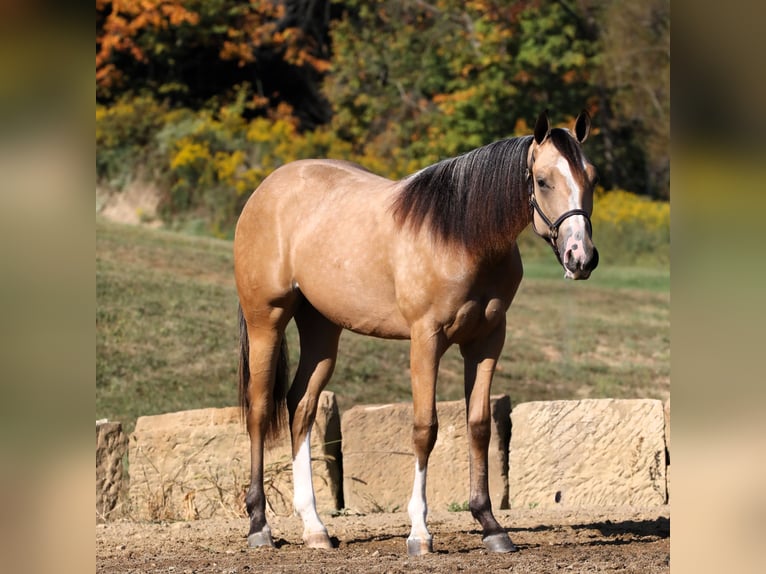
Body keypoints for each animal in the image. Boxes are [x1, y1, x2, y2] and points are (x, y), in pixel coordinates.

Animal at [234, 110, 600, 556]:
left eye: (592, 177)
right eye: (543, 180)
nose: (581, 257)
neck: (461, 236)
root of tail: (266, 189)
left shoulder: (487, 340)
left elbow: (479, 425)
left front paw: (490, 525)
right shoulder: (427, 339)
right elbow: (425, 429)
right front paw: (420, 533)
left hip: (321, 328)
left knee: (300, 406)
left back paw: (315, 528)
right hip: (266, 319)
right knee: (259, 409)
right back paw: (259, 525)